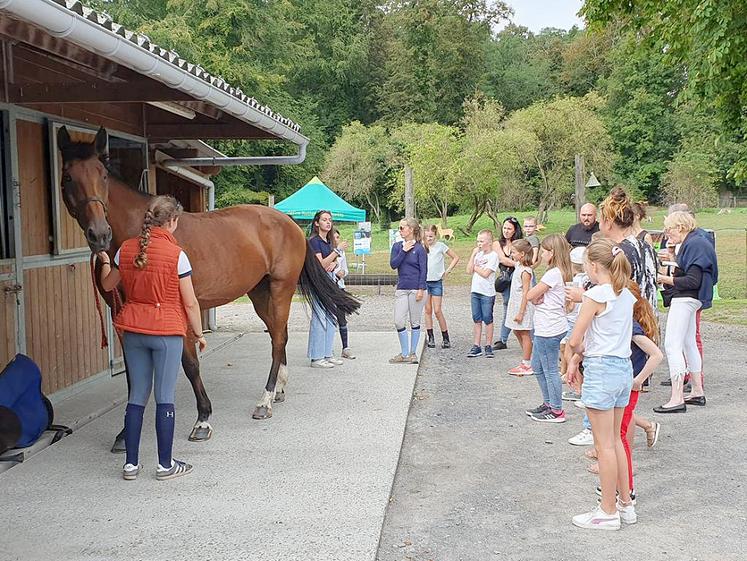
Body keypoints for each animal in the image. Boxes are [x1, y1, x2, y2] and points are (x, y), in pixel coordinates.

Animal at [57, 126, 360, 451]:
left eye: (102, 175)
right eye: (68, 176)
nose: (99, 234)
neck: (144, 238)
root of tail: (289, 223)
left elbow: (190, 364)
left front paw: (202, 420)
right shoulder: (122, 317)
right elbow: (134, 377)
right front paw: (125, 435)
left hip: (281, 289)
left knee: (278, 338)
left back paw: (264, 401)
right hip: (259, 293)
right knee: (279, 336)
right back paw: (278, 389)